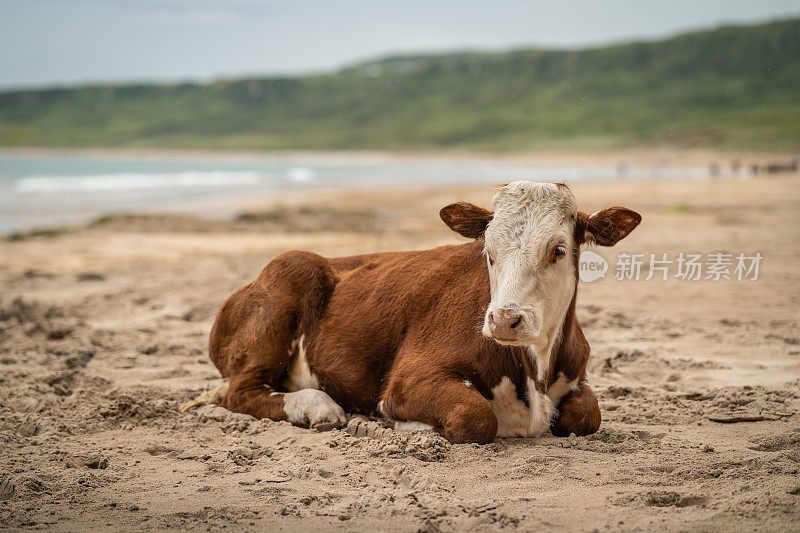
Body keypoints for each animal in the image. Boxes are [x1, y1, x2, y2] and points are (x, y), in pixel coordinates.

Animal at [180, 181, 636, 442]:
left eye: (558, 249)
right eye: (487, 250)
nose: (504, 319)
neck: (534, 369)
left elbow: (588, 414)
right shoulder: (406, 380)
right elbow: (474, 416)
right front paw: (405, 424)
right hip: (291, 272)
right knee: (241, 391)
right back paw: (319, 408)